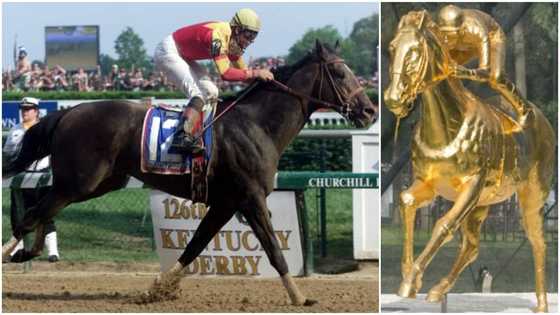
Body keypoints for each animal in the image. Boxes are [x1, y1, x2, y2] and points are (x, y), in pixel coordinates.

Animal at [1, 42, 376, 306]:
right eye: (340, 75)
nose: (369, 110)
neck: (257, 124)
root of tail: (68, 113)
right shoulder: (251, 198)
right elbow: (273, 249)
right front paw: (299, 297)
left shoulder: (226, 203)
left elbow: (195, 246)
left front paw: (158, 289)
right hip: (79, 182)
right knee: (35, 213)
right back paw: (11, 252)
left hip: (97, 183)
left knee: (42, 212)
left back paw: (24, 252)